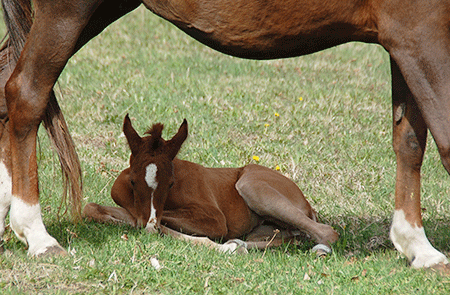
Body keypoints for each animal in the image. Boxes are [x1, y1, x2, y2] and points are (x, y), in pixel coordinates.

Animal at [83, 115, 338, 254]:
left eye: (171, 183)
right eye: (133, 182)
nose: (149, 219)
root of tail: (308, 204)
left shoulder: (215, 219)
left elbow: (154, 226)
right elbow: (92, 208)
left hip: (251, 186)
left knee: (327, 232)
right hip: (267, 227)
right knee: (289, 238)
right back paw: (238, 244)